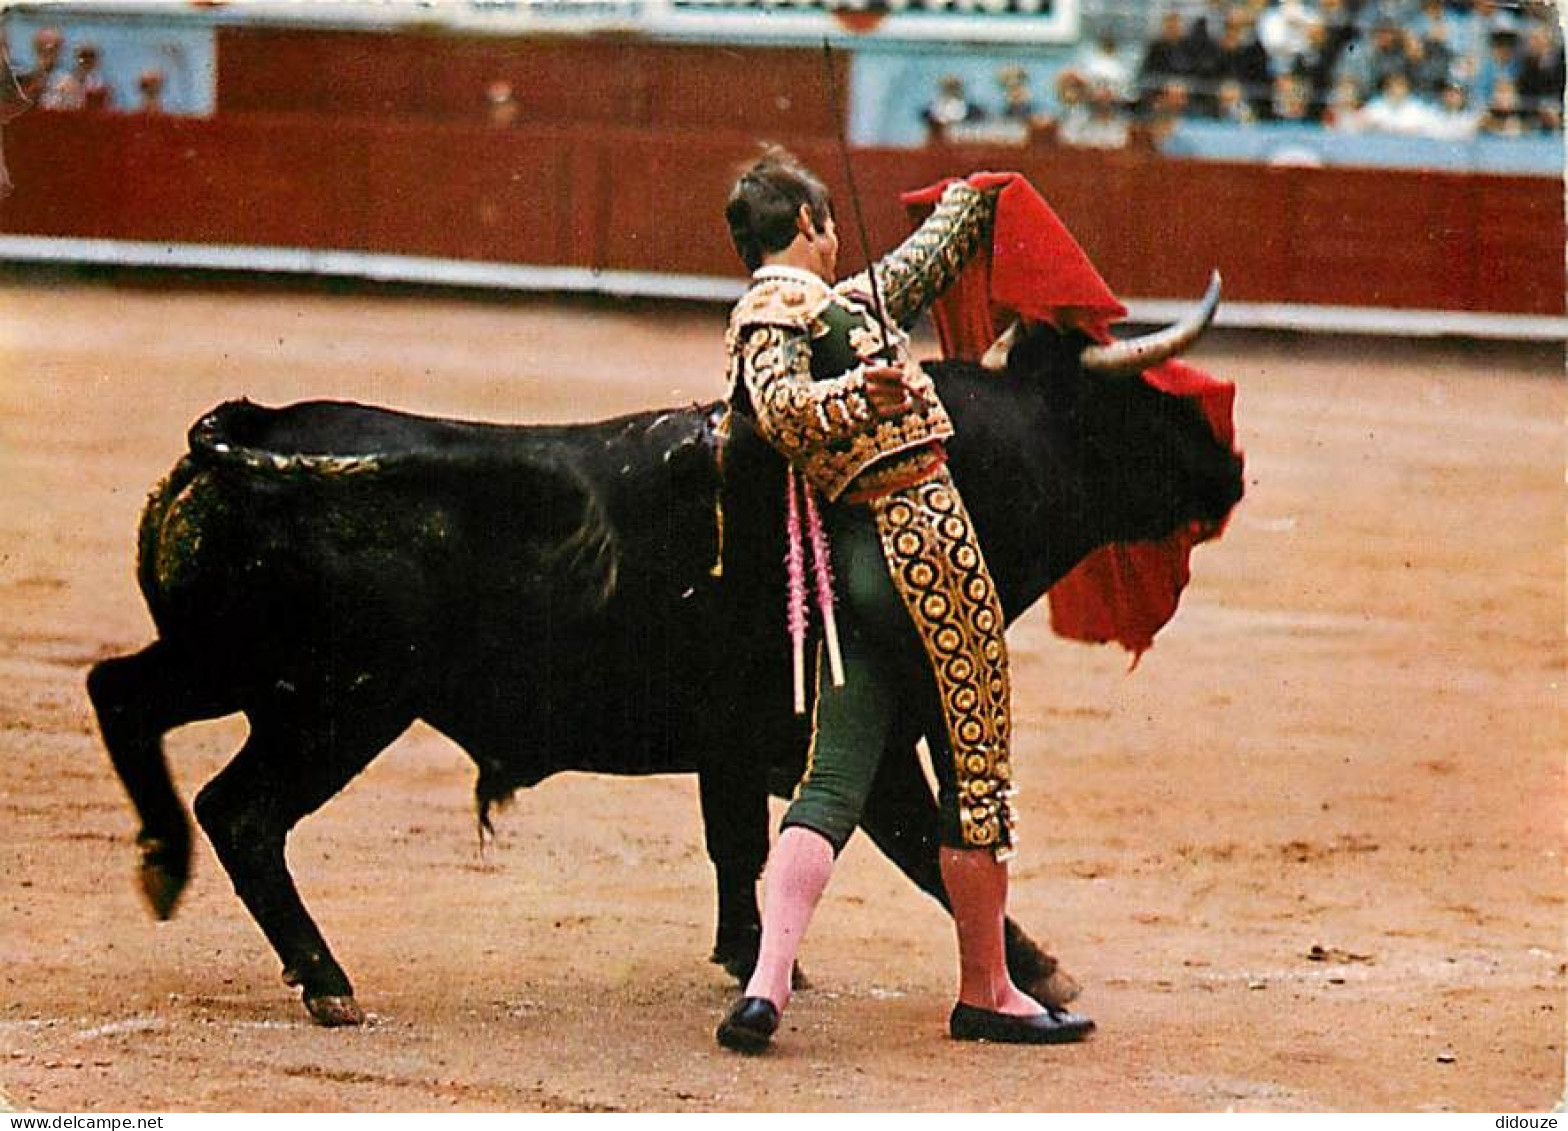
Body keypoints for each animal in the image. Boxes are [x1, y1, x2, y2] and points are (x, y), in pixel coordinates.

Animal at [85, 280, 1241, 1022]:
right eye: (1141, 401)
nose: (1229, 471)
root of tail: (250, 432)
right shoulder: (863, 737)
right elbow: (918, 847)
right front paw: (1041, 973)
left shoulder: (737, 745)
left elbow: (743, 846)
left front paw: (757, 963)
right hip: (335, 703)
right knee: (243, 811)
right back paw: (324, 979)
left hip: (231, 667)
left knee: (120, 694)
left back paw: (163, 866)